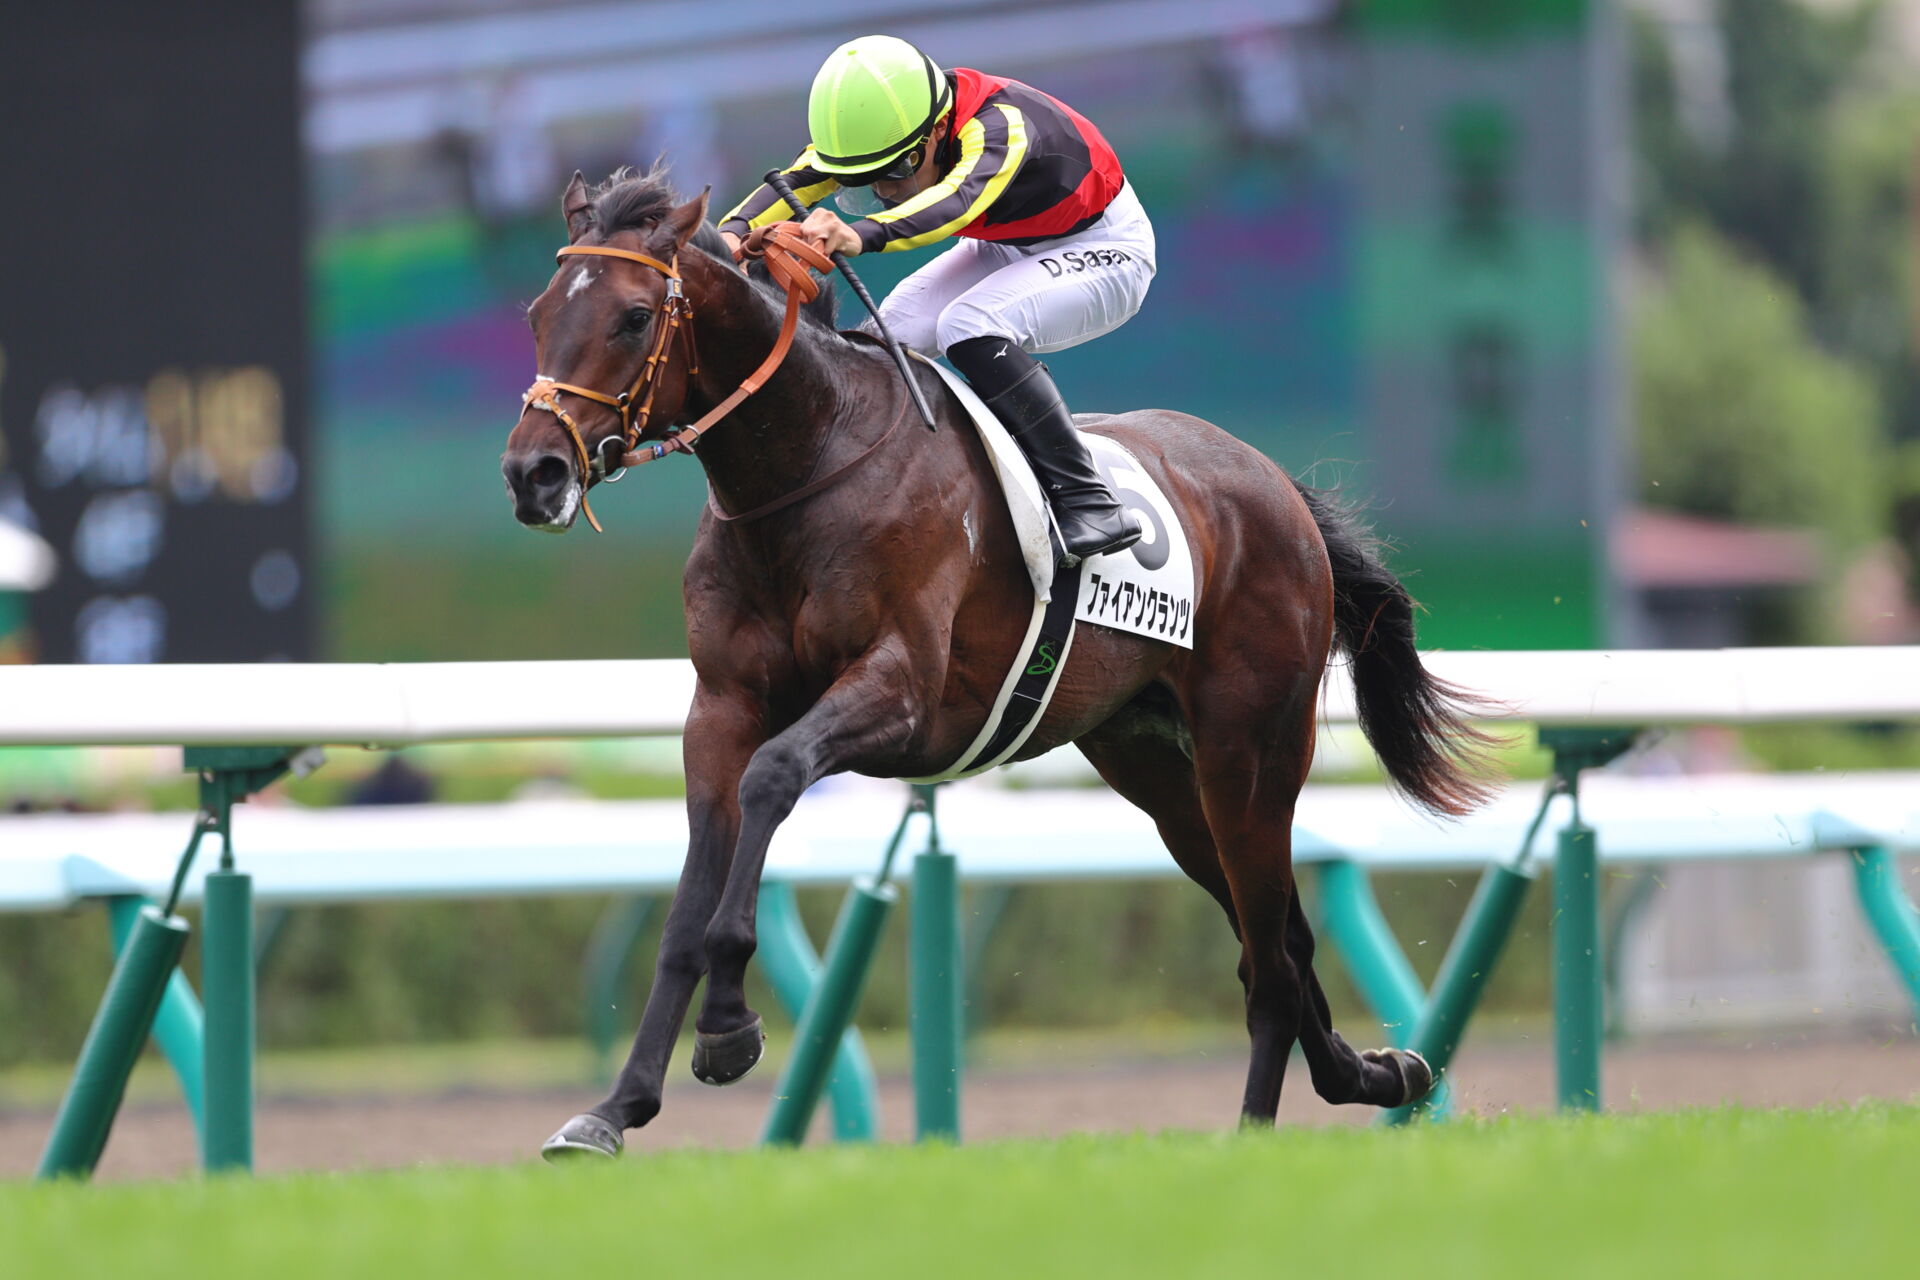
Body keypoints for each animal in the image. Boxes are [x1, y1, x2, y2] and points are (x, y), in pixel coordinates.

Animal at [503, 169, 1489, 1159]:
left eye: (633, 317)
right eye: (540, 311)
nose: (534, 474)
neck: (810, 461)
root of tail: (1277, 484)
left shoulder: (902, 692)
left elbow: (774, 778)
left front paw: (728, 1030)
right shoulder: (721, 708)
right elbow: (686, 905)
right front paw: (616, 1107)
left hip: (1251, 751)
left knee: (1274, 960)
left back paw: (1254, 1132)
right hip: (1158, 769)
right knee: (1274, 940)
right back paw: (1378, 1072)